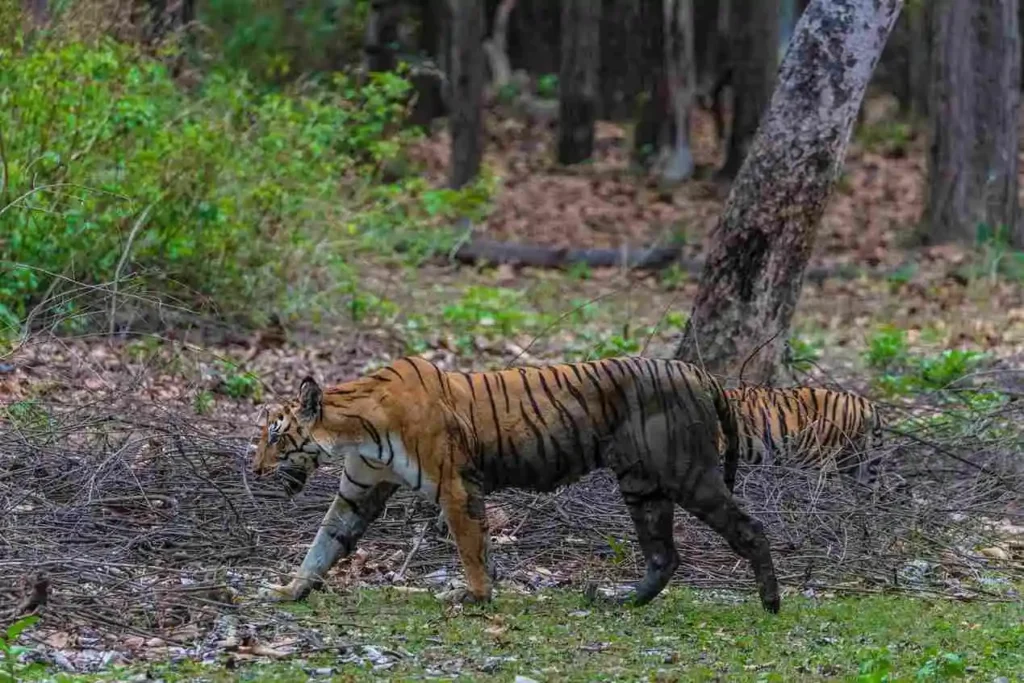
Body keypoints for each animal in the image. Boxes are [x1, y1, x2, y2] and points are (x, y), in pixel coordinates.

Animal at [250, 356, 780, 613]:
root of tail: (698, 371)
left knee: (750, 528)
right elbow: (324, 543)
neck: (353, 431)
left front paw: (474, 597)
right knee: (663, 556)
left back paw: (770, 604)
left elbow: (470, 547)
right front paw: (291, 590)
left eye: (275, 436)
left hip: (686, 473)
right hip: (642, 486)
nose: (254, 470)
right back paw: (619, 601)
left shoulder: (455, 485)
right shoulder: (358, 491)